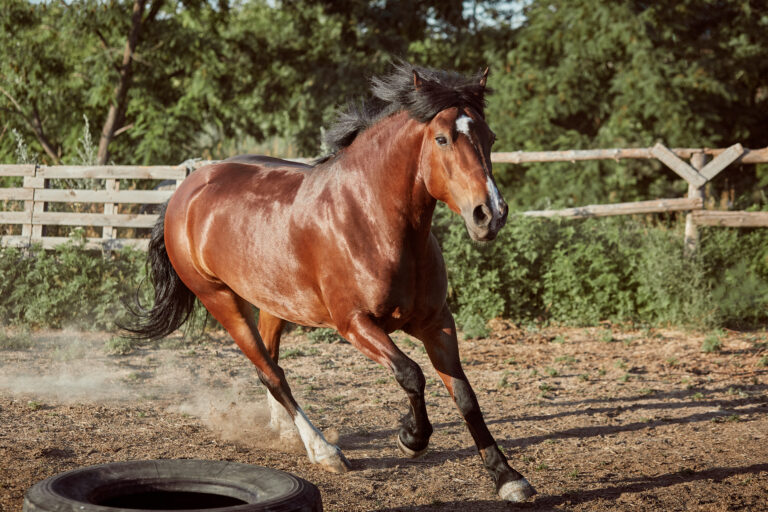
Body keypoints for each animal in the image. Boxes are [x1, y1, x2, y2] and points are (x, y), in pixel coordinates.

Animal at [125, 62, 535, 503]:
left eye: (489, 138)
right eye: (442, 138)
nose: (489, 214)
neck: (372, 220)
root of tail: (186, 190)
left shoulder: (436, 322)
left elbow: (465, 395)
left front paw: (508, 477)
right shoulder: (355, 324)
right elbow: (411, 374)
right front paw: (411, 438)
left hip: (273, 302)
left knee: (269, 364)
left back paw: (289, 433)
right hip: (220, 299)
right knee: (272, 374)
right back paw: (324, 451)